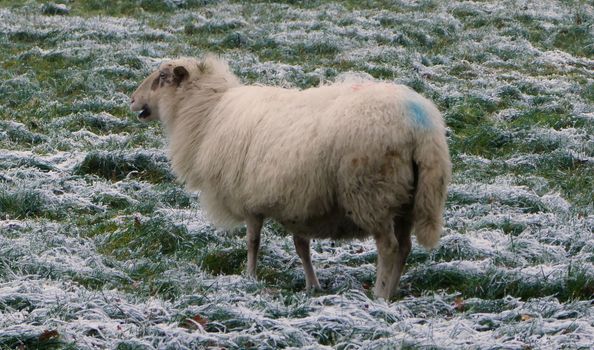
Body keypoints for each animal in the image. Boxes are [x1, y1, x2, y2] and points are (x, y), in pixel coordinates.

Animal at [131, 54, 448, 298]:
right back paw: (392, 291)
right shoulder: (299, 201)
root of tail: (422, 128)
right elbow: (301, 247)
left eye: (161, 77)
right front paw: (312, 285)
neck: (207, 114)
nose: (132, 99)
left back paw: (380, 295)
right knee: (405, 247)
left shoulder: (250, 199)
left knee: (389, 248)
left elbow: (253, 242)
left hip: (373, 193)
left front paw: (250, 277)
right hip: (408, 199)